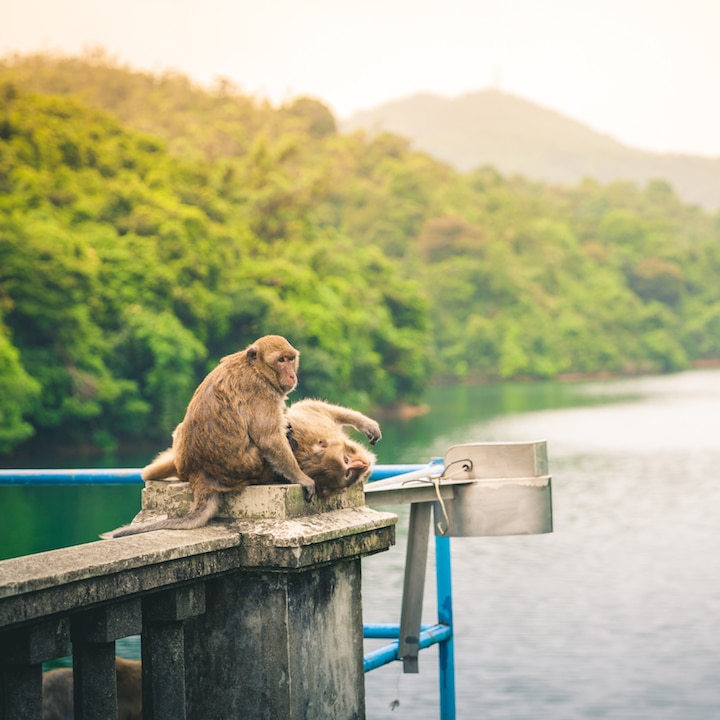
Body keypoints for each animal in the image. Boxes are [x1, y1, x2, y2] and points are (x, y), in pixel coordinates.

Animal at [107, 396, 382, 536]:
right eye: (347, 470)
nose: (361, 466)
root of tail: (200, 474)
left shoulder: (313, 424)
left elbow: (313, 408)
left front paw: (365, 424)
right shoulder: (312, 426)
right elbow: (309, 407)